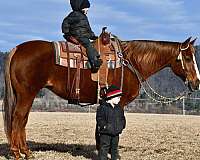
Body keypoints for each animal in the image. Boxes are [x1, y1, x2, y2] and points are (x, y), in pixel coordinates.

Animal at [3, 35, 200, 159]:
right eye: (187, 58)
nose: (197, 82)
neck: (131, 62)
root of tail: (17, 48)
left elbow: (100, 128)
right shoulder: (120, 102)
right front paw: (112, 153)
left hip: (25, 95)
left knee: (22, 120)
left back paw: (26, 152)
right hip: (27, 94)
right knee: (18, 118)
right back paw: (17, 152)